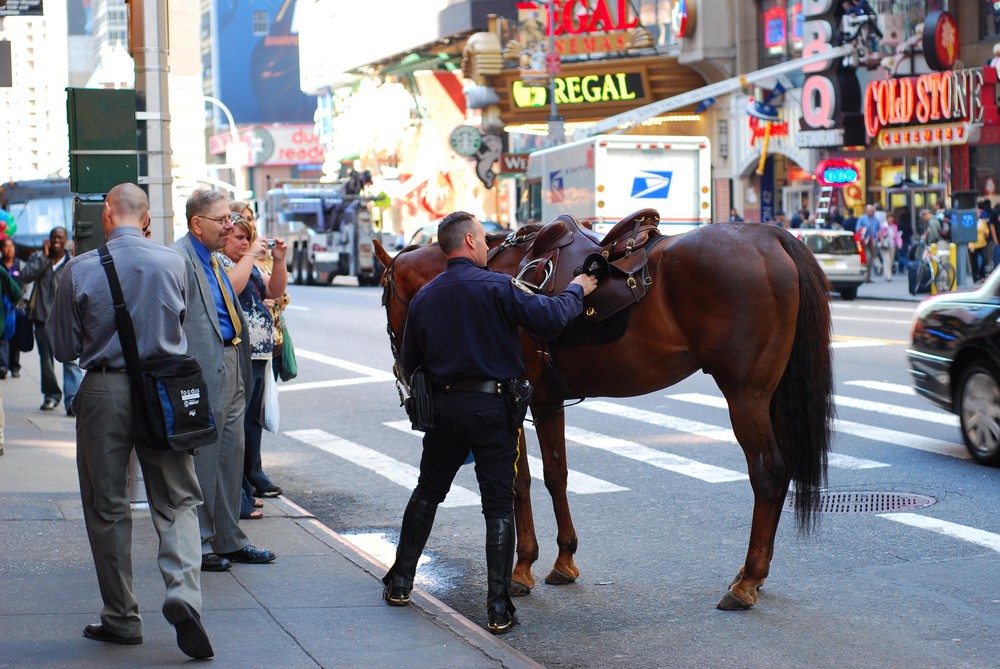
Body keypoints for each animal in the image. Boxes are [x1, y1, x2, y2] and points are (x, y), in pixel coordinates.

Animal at [372, 220, 832, 612]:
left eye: (383, 296)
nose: (403, 369)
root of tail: (771, 236)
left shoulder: (522, 402)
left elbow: (522, 483)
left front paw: (523, 568)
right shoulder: (546, 401)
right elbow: (556, 474)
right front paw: (563, 560)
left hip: (745, 395)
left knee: (768, 473)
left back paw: (747, 581)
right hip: (768, 397)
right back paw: (752, 573)